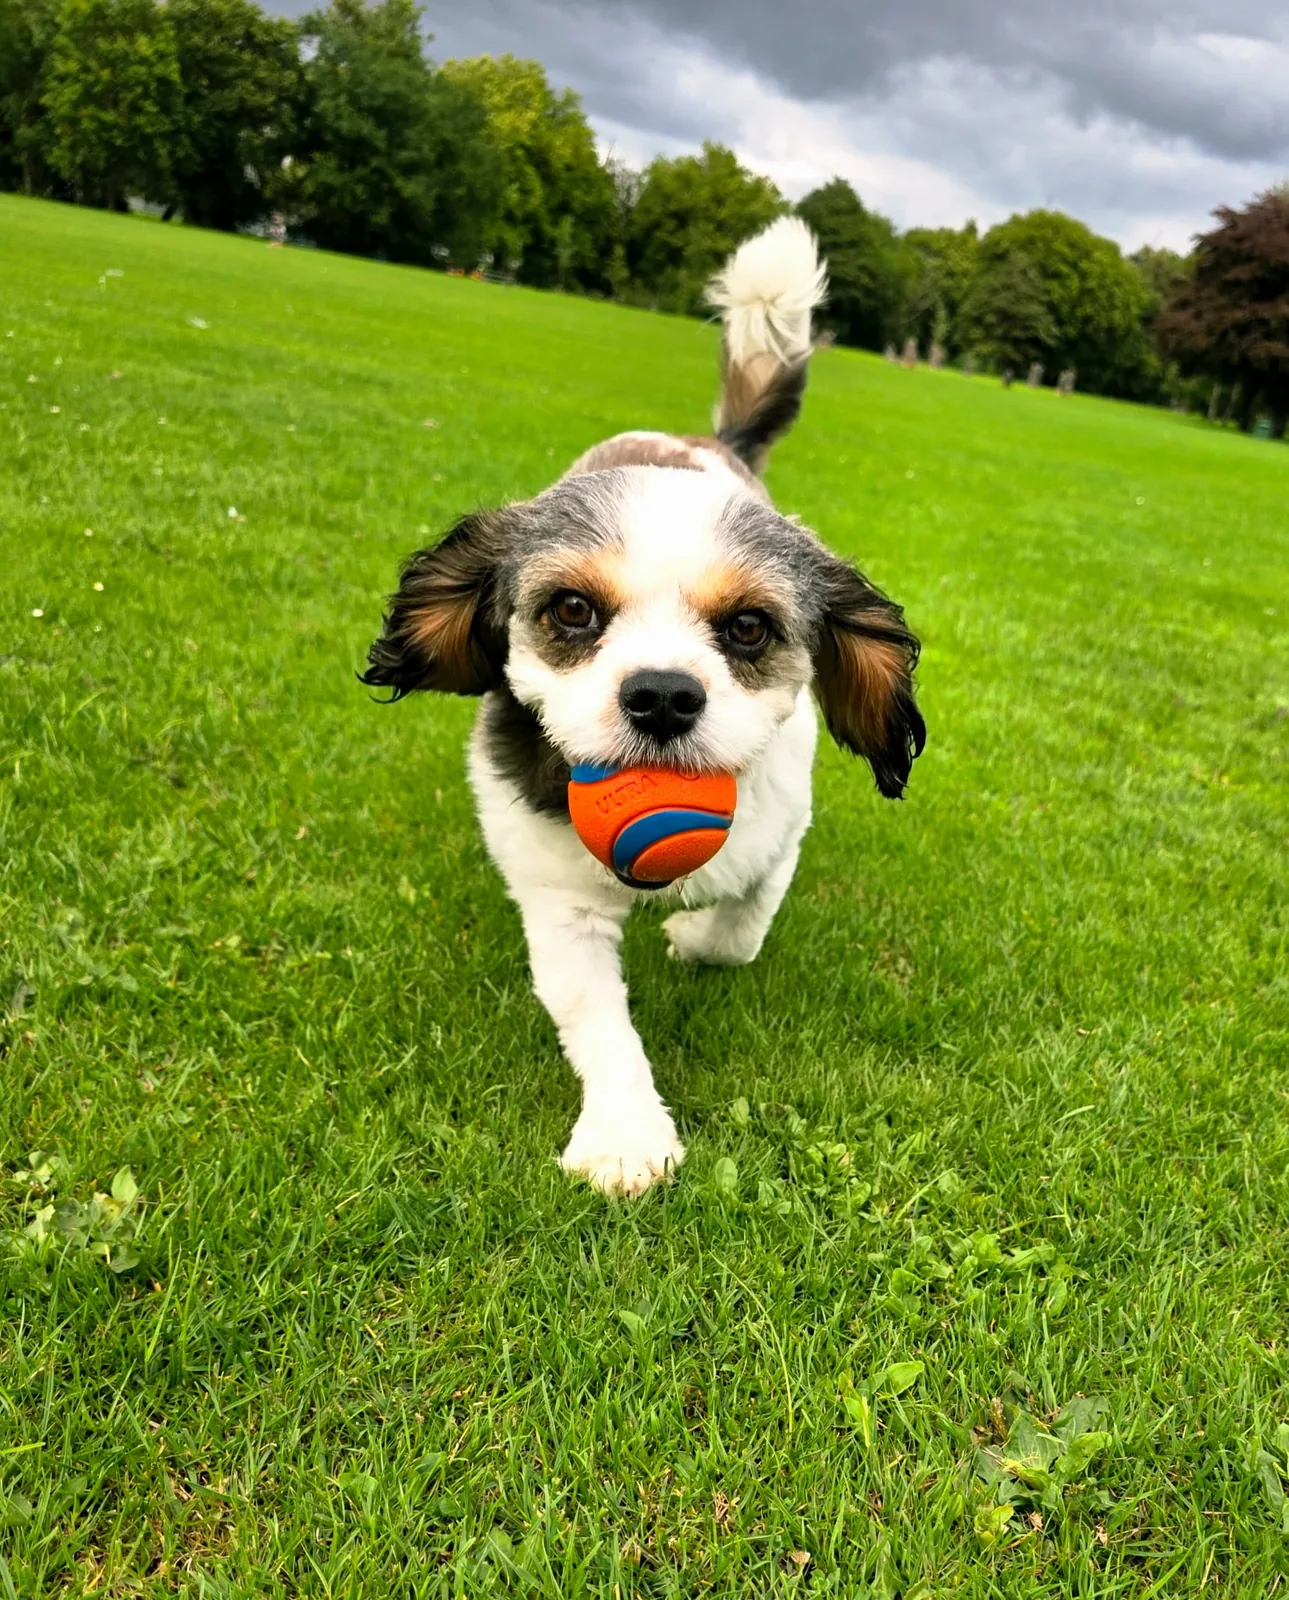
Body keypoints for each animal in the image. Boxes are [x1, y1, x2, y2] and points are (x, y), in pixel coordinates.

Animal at [361, 217, 925, 1196]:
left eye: (748, 628)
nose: (661, 694)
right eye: (571, 611)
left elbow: (741, 927)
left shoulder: (780, 827)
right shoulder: (558, 900)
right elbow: (598, 1022)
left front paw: (696, 937)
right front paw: (625, 1132)